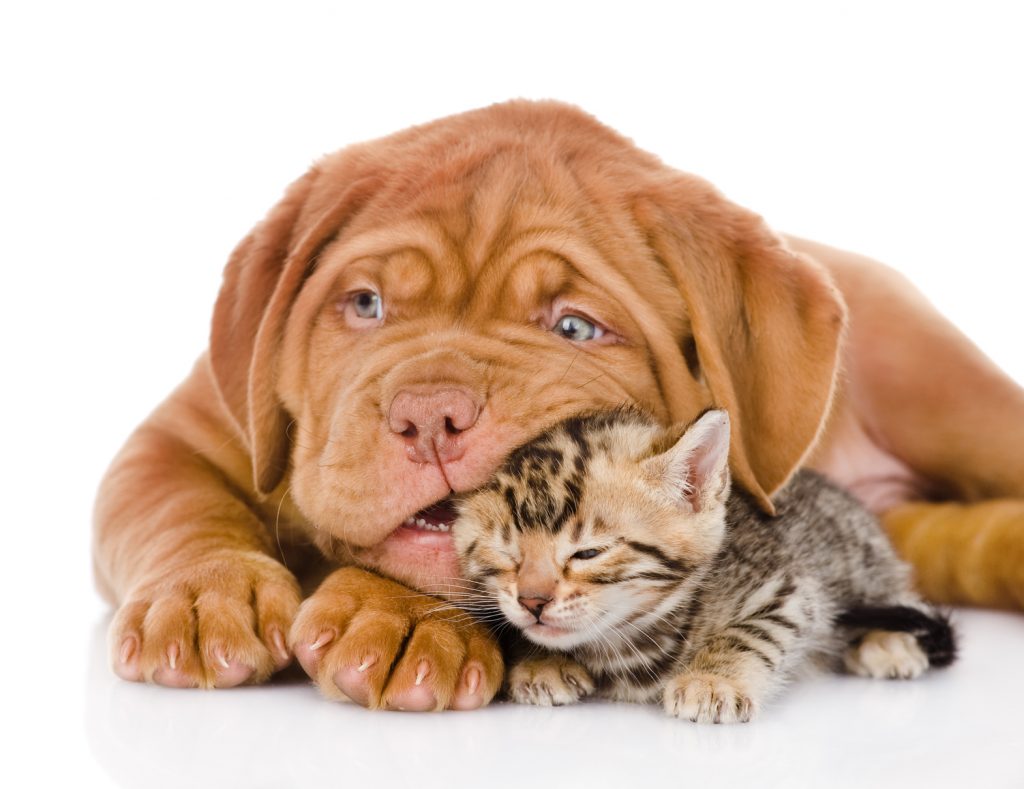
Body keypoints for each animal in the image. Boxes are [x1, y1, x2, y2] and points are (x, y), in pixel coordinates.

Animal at [452, 411, 954, 724]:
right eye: (508, 557)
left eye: (588, 553)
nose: (533, 601)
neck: (627, 644)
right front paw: (540, 662)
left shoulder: (788, 588)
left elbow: (753, 632)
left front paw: (713, 680)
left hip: (859, 559)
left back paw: (888, 643)